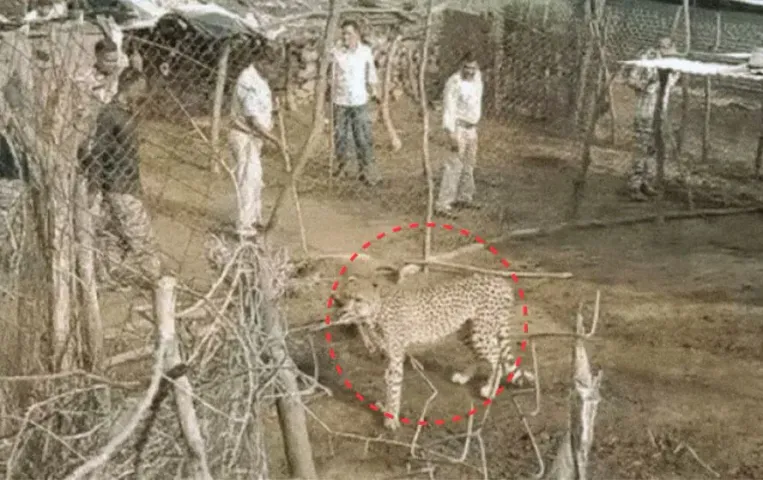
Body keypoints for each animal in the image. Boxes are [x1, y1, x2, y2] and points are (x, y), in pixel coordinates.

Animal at [331, 265, 534, 430]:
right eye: (346, 297)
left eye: (358, 299)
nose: (342, 311)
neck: (377, 310)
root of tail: (500, 281)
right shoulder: (388, 354)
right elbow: (389, 383)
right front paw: (386, 409)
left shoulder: (395, 356)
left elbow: (394, 387)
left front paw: (391, 418)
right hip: (467, 331)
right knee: (482, 354)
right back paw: (464, 377)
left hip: (480, 332)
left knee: (497, 356)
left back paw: (490, 390)